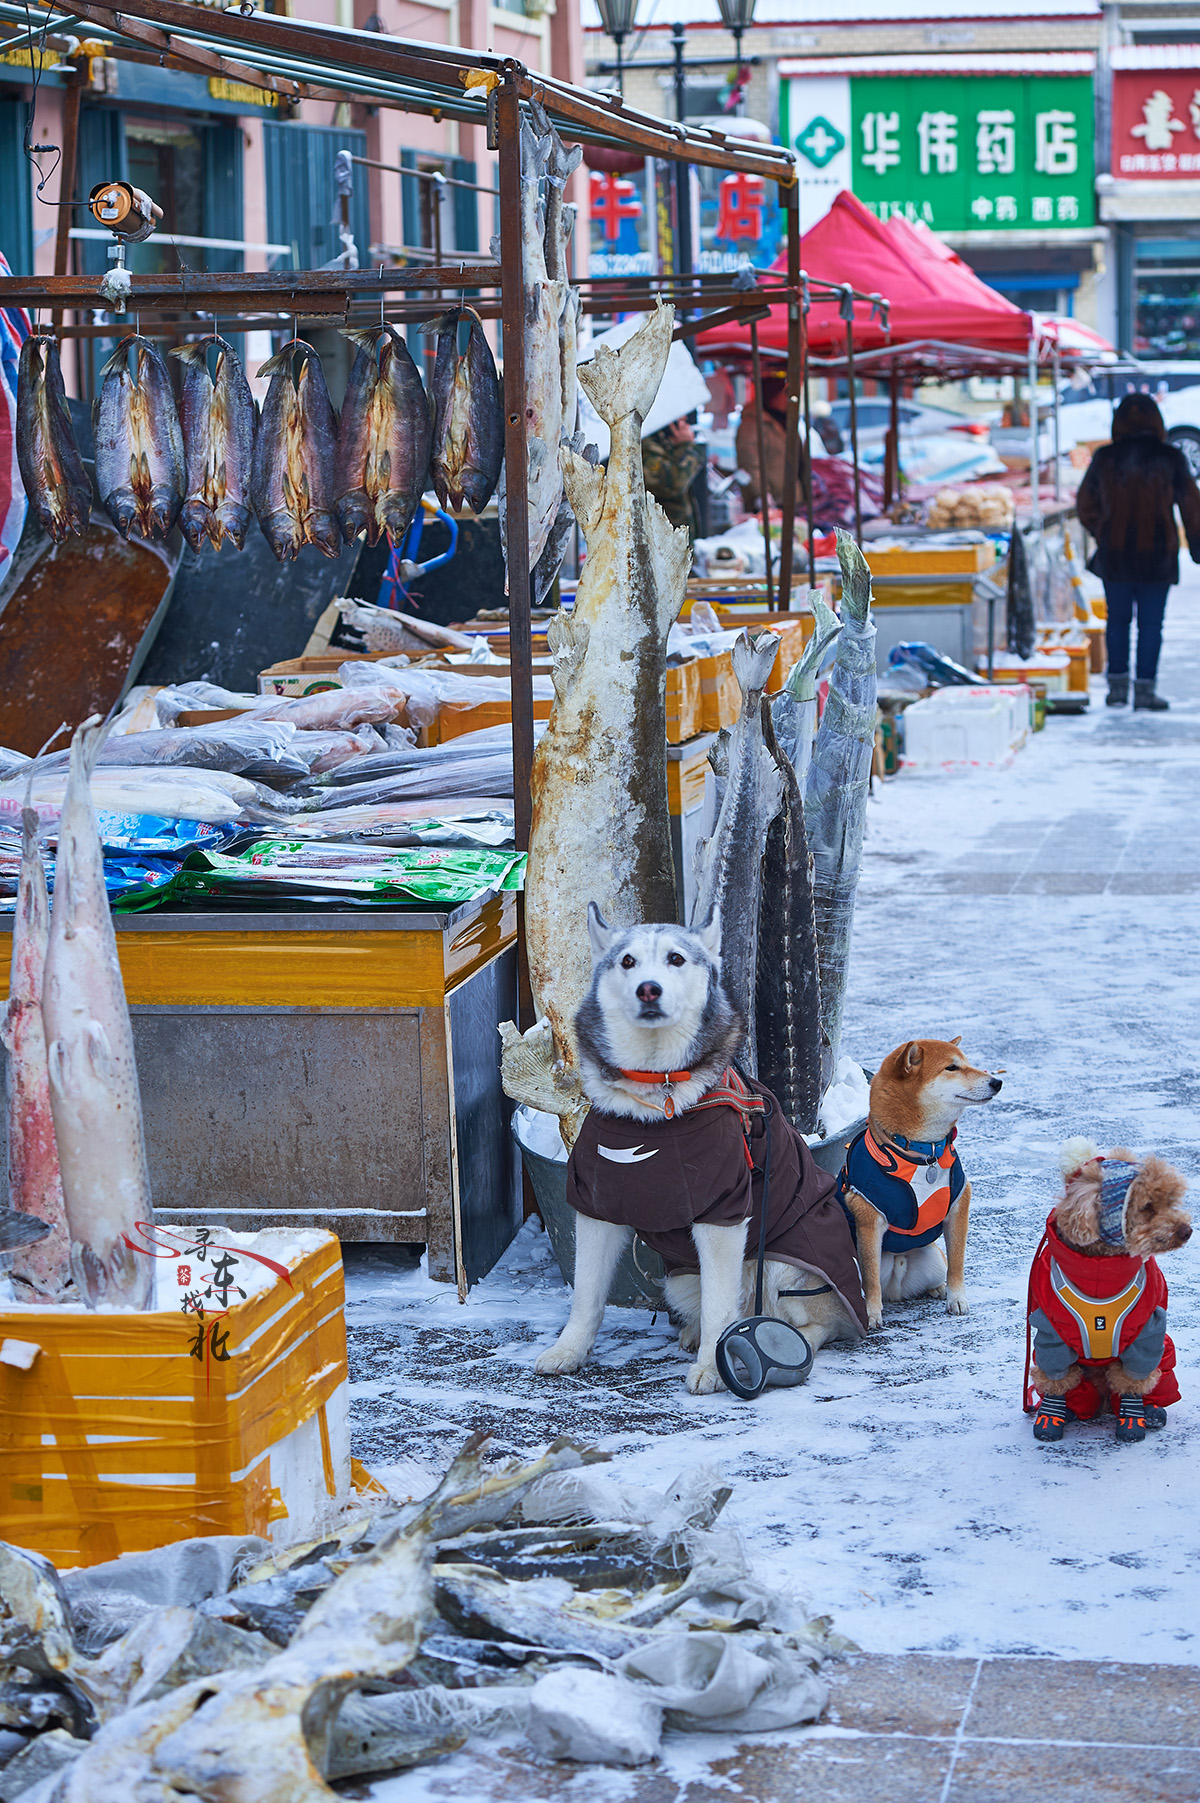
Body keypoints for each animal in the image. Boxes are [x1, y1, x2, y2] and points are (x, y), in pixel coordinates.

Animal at [832, 1045, 1001, 1327]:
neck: (923, 1154)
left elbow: (957, 1262)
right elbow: (870, 1277)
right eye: (951, 1068)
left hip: (933, 1260)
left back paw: (938, 1289)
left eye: (967, 1064)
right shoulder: (868, 1218)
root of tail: (894, 1289)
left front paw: (956, 1298)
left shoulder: (958, 1203)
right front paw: (871, 1313)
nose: (997, 1082)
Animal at [1023, 1139, 1181, 1449]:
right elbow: (1056, 1377)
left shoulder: (1148, 1329)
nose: (1187, 1230)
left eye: (1170, 1202)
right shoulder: (1050, 1331)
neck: (1100, 1269)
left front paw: (1132, 1422)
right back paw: (1070, 1411)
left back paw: (1151, 1411)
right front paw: (1049, 1419)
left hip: (1165, 1353)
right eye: (1147, 1206)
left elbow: (1133, 1379)